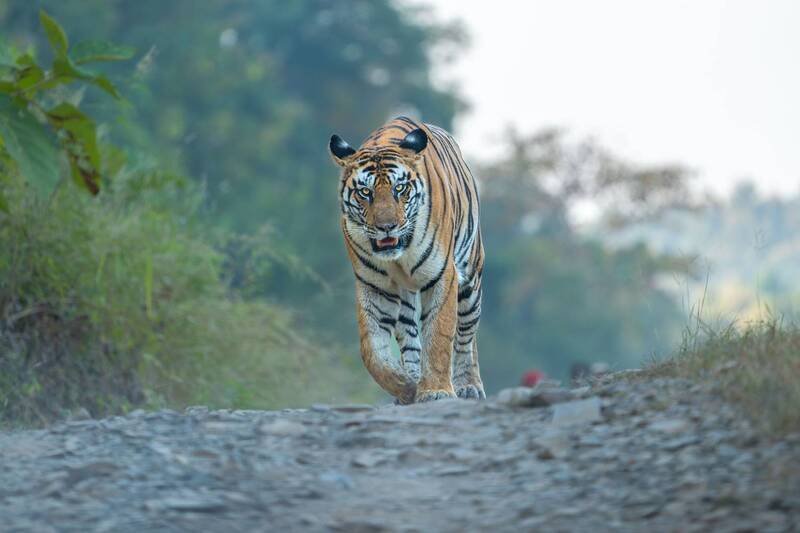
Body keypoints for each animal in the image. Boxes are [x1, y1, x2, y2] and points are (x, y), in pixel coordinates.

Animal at [329, 116, 485, 404]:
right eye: (364, 192)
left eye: (399, 189)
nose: (386, 227)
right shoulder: (375, 286)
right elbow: (372, 351)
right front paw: (407, 387)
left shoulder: (442, 276)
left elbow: (439, 336)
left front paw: (436, 391)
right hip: (406, 300)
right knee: (410, 339)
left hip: (470, 281)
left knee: (466, 337)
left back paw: (469, 386)